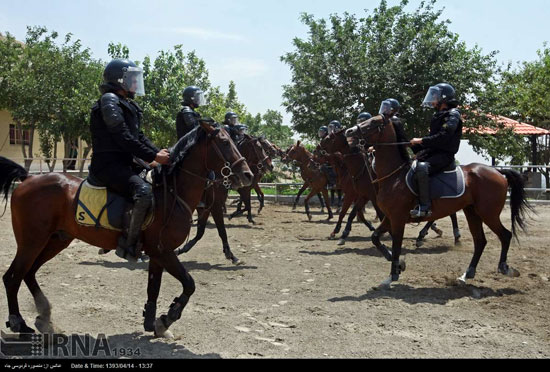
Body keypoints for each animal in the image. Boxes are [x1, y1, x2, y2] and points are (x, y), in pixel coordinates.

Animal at [0, 122, 254, 338]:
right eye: (224, 142)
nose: (248, 175)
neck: (171, 195)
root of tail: (27, 179)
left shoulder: (158, 254)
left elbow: (153, 288)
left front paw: (154, 323)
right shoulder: (163, 252)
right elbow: (189, 284)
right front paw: (168, 317)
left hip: (56, 240)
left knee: (28, 273)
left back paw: (44, 317)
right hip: (31, 242)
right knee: (12, 277)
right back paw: (19, 323)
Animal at [348, 115, 532, 288]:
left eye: (374, 122)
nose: (349, 132)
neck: (395, 176)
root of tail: (498, 172)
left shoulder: (398, 219)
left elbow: (396, 245)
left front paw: (392, 276)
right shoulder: (389, 217)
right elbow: (375, 238)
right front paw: (397, 264)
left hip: (488, 214)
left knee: (505, 235)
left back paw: (505, 268)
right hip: (472, 212)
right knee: (480, 241)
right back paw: (466, 274)